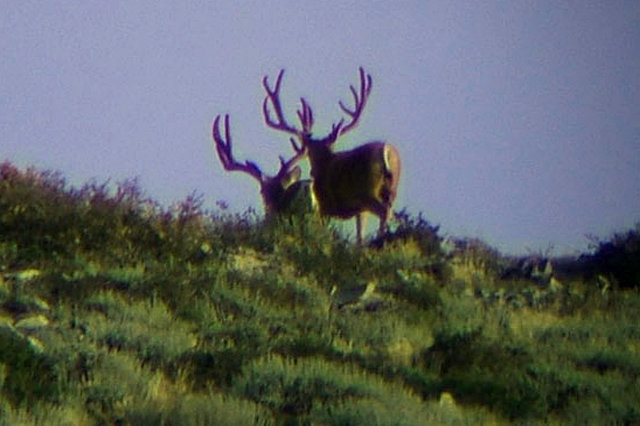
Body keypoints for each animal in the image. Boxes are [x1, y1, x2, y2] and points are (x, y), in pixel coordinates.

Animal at [262, 67, 401, 244]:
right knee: (390, 212)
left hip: (368, 192)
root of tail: (386, 150)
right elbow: (359, 234)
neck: (325, 161)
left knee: (384, 211)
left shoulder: (325, 207)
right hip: (391, 188)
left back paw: (380, 239)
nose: (312, 173)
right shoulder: (359, 209)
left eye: (310, 153)